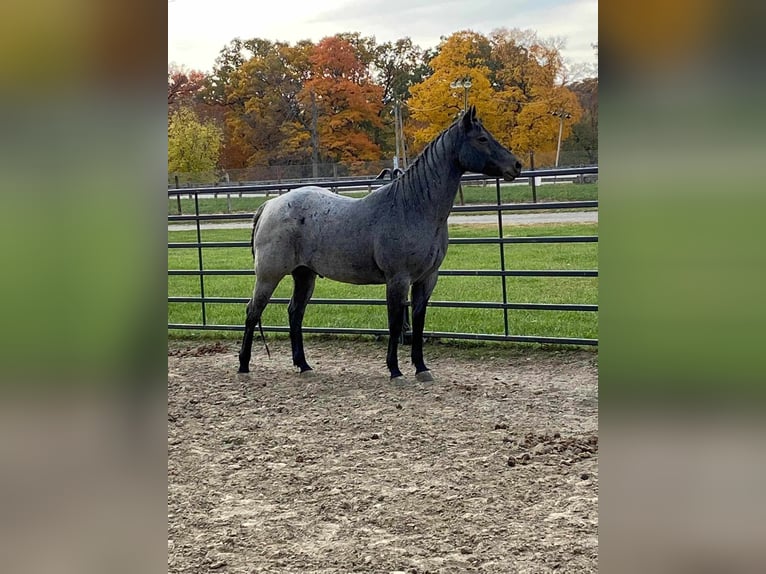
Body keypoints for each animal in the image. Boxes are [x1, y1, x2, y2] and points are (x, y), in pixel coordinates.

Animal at [238, 107, 520, 382]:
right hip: (268, 275)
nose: (516, 165)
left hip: (305, 275)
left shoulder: (427, 279)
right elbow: (394, 324)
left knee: (295, 313)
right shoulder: (397, 279)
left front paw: (421, 368)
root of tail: (269, 205)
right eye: (482, 139)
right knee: (253, 311)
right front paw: (395, 370)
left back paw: (304, 365)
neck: (413, 207)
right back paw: (244, 365)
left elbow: (418, 321)